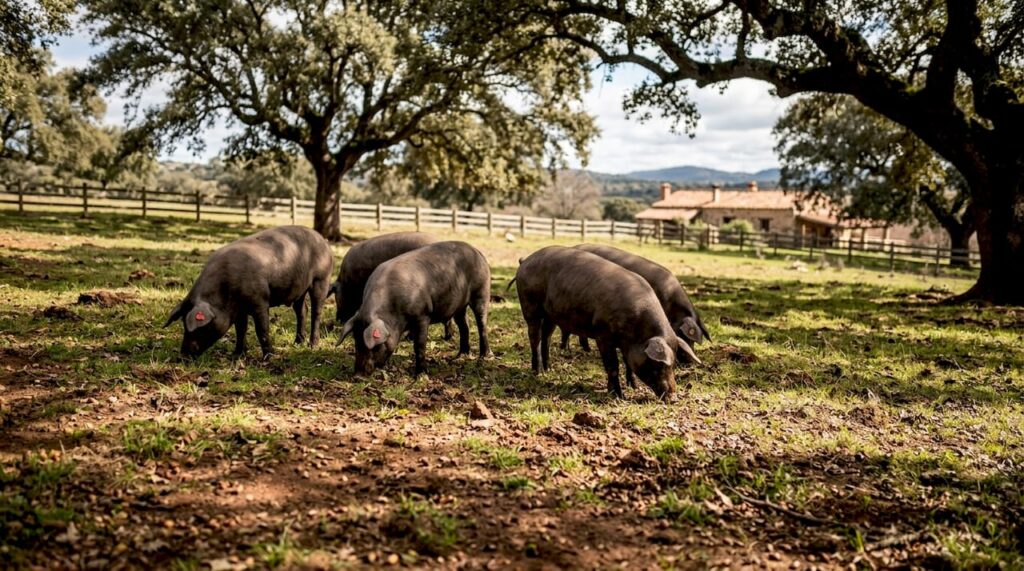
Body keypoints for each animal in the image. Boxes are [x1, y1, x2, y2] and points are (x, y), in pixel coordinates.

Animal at [164, 226, 334, 359]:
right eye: (183, 325)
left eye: (202, 328)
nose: (183, 355)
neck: (225, 292)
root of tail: (322, 239)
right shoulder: (239, 309)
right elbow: (241, 329)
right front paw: (237, 355)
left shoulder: (260, 300)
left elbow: (261, 329)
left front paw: (269, 357)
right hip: (300, 289)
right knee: (302, 310)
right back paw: (297, 343)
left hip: (321, 278)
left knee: (316, 311)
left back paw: (312, 345)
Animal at [338, 241, 491, 375]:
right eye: (356, 341)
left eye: (375, 346)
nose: (358, 375)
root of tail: (477, 252)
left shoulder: (423, 314)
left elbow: (419, 345)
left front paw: (420, 373)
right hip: (460, 306)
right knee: (465, 326)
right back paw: (460, 356)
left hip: (481, 291)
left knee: (482, 324)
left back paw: (483, 357)